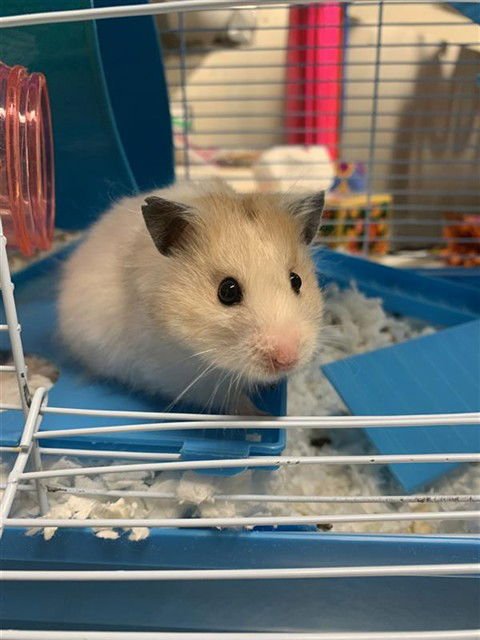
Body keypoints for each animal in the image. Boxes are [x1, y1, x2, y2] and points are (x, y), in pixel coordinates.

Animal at [58, 180, 324, 414]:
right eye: (227, 291)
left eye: (296, 281)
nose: (288, 359)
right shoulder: (182, 378)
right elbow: (233, 401)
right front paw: (260, 415)